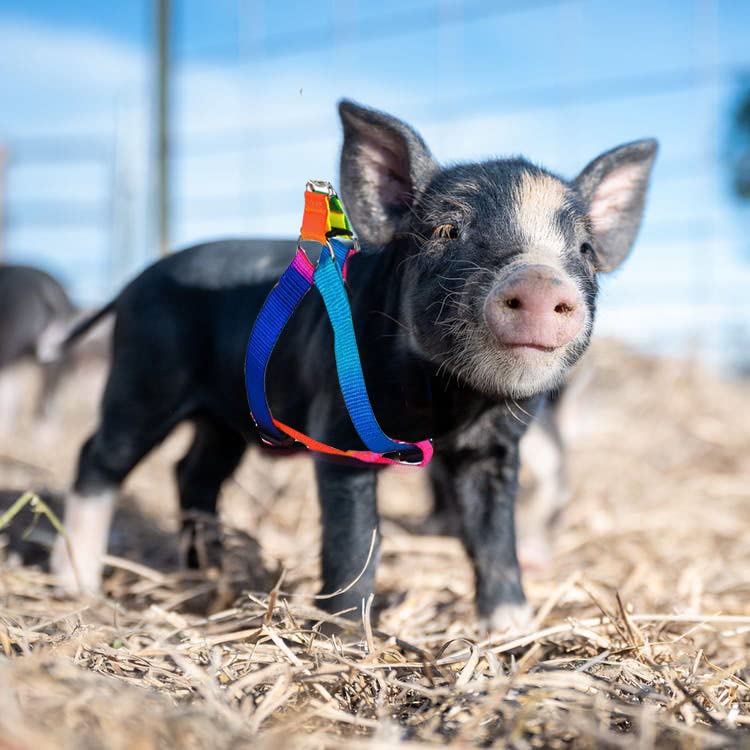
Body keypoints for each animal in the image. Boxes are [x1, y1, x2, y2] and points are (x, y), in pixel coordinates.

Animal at [51, 100, 657, 630]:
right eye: (448, 231)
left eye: (584, 250)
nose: (540, 278)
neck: (447, 401)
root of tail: (137, 279)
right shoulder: (340, 430)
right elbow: (356, 539)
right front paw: (344, 631)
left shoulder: (494, 450)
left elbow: (492, 538)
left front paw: (511, 629)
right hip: (143, 378)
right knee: (97, 458)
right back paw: (77, 584)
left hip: (224, 416)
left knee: (192, 472)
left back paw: (210, 576)